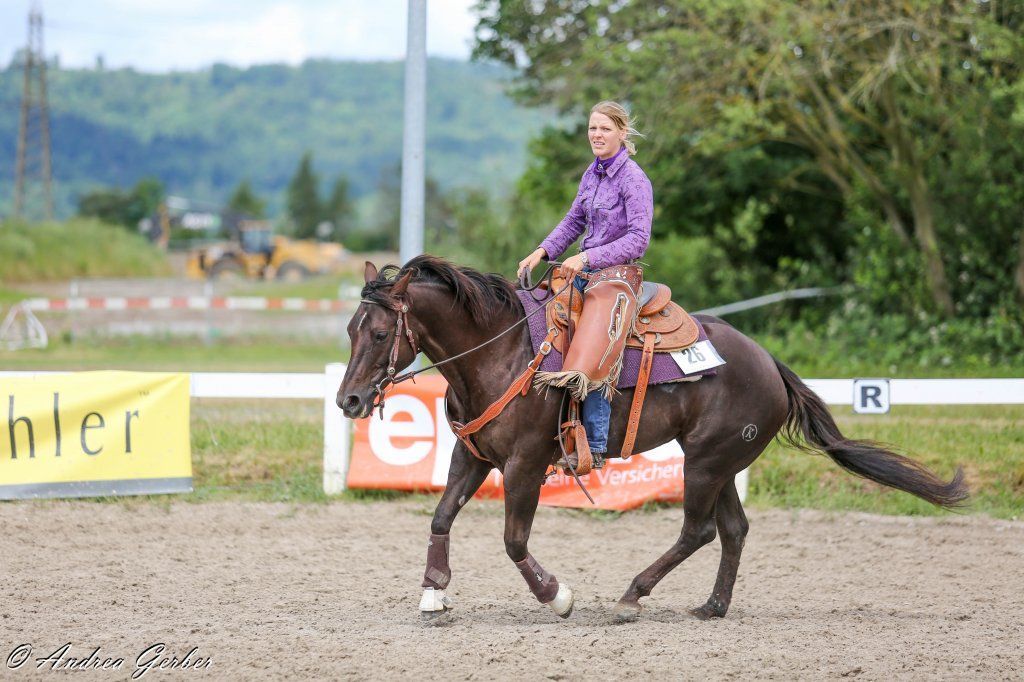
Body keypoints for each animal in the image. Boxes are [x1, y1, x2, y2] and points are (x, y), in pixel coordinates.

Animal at [337, 255, 968, 622]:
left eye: (378, 332)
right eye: (349, 329)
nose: (349, 401)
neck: (500, 352)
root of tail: (769, 364)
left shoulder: (524, 464)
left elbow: (514, 542)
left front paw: (557, 596)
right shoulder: (472, 456)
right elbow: (441, 516)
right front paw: (433, 592)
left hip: (706, 464)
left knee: (700, 530)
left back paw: (632, 595)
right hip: (716, 462)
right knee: (733, 529)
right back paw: (712, 606)